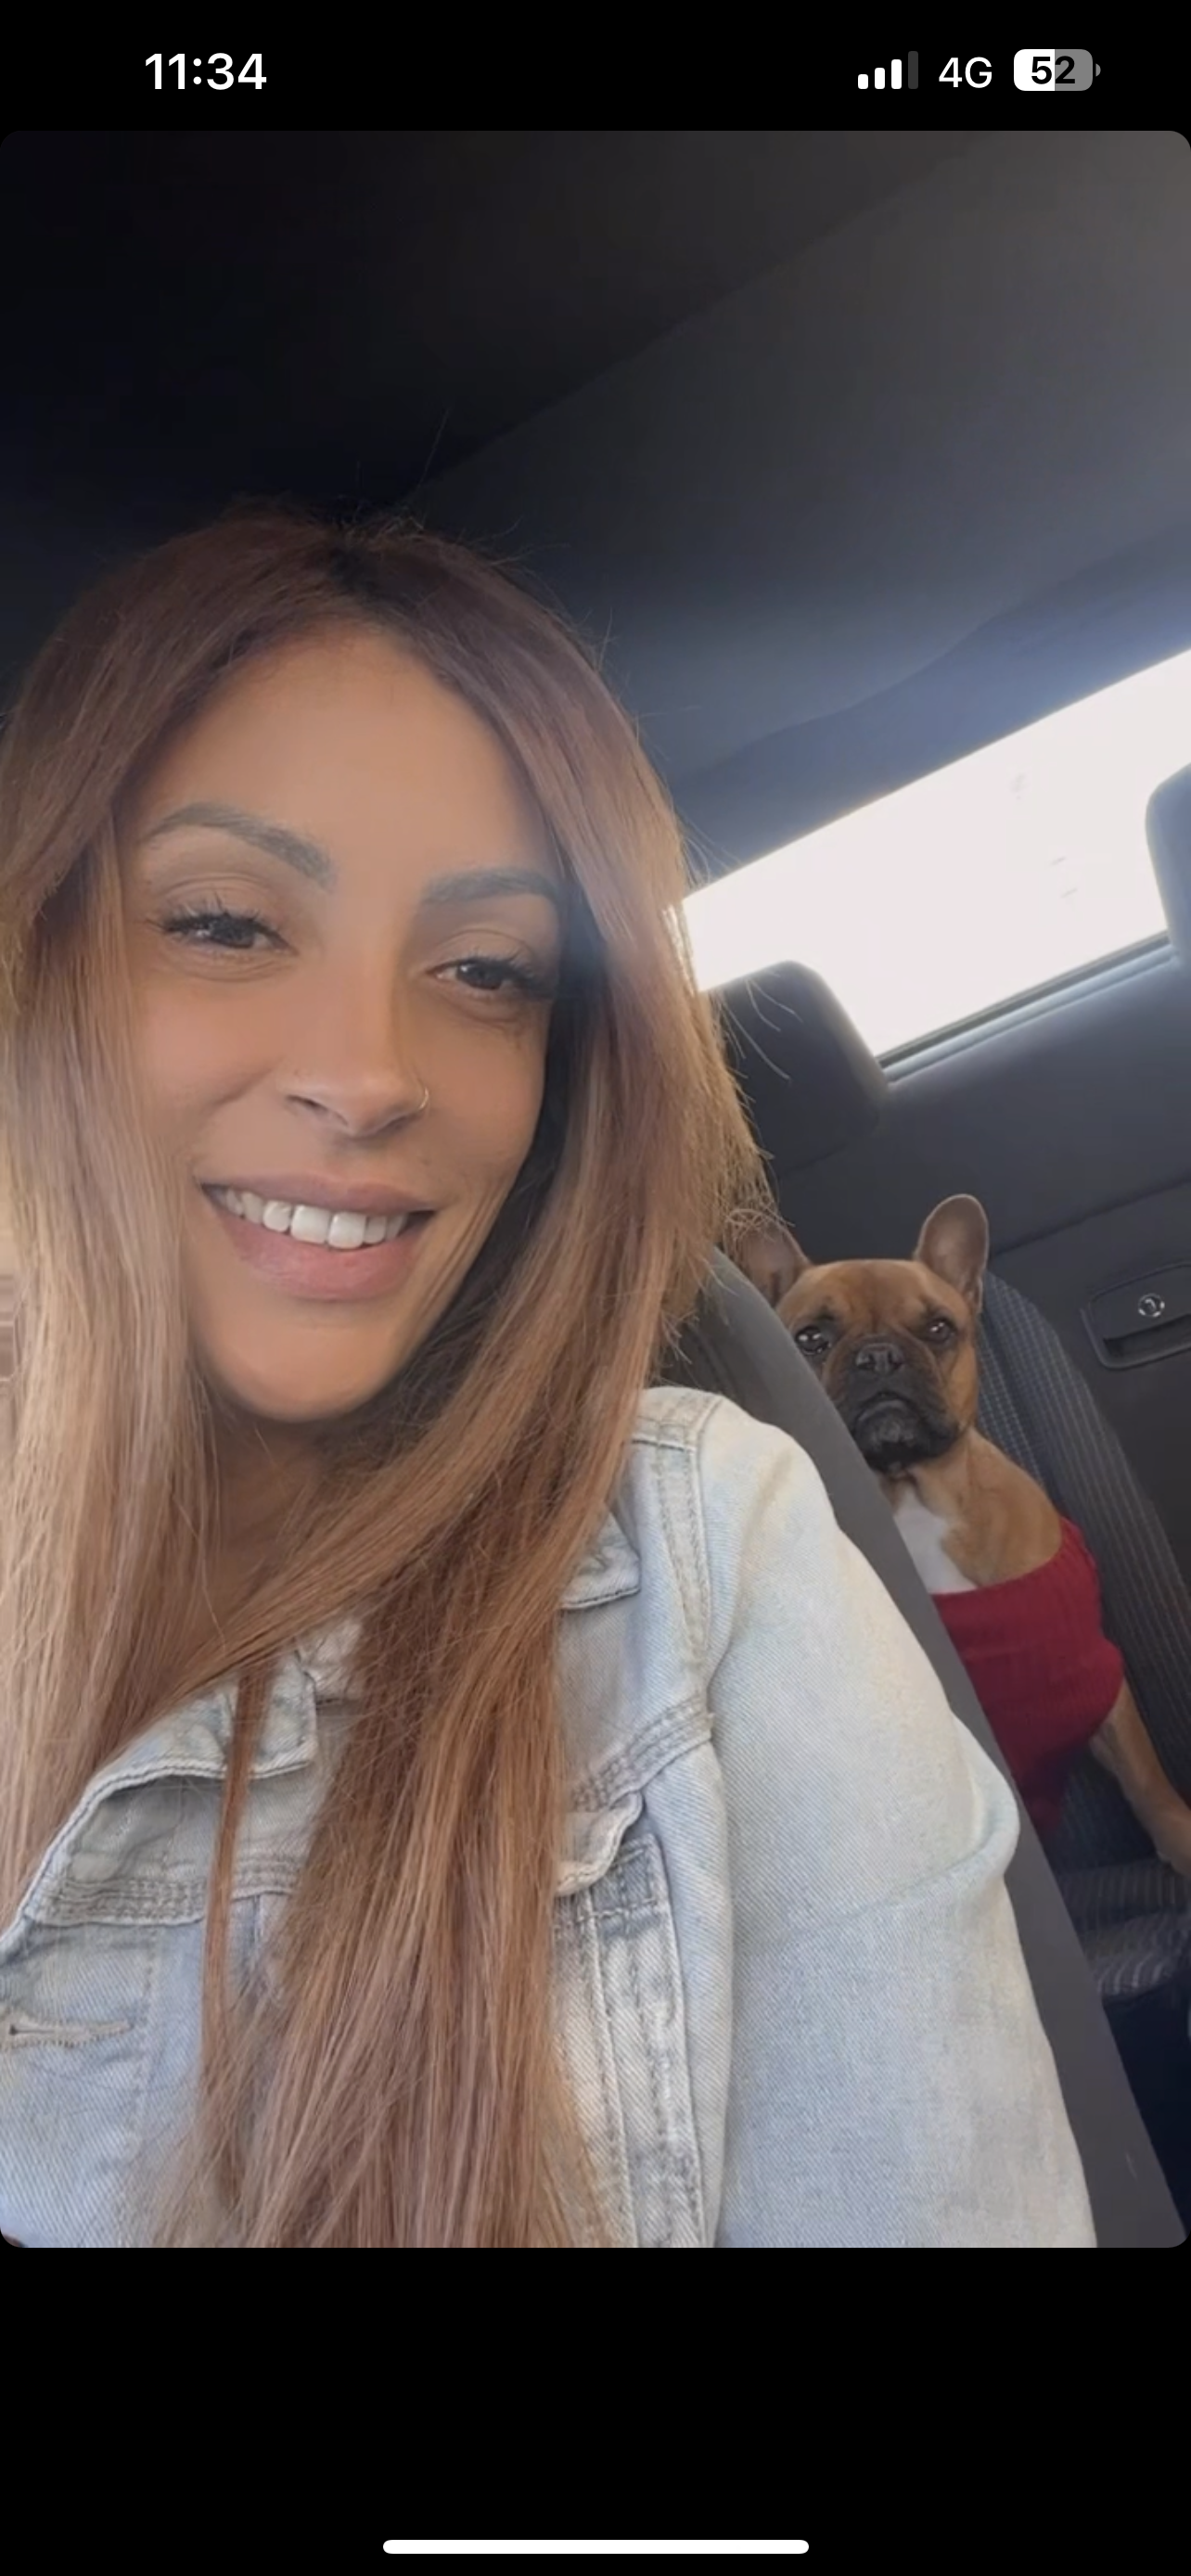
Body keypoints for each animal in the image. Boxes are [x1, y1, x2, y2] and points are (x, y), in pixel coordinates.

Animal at [737, 1193, 1191, 1874]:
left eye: (938, 1329)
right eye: (810, 1338)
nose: (878, 1356)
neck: (913, 1496)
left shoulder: (1096, 1682)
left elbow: (1148, 1783)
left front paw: (1181, 1841)